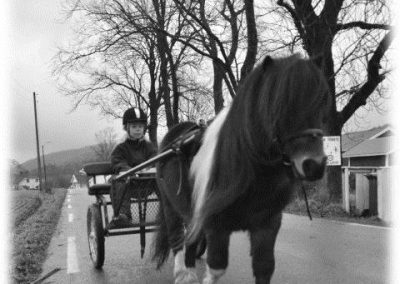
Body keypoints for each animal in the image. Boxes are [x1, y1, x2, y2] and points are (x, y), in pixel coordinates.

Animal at [152, 53, 330, 284]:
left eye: (321, 102)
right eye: (279, 104)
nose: (314, 165)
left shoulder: (267, 224)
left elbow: (264, 268)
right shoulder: (215, 226)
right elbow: (216, 268)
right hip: (170, 207)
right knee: (178, 241)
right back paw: (184, 274)